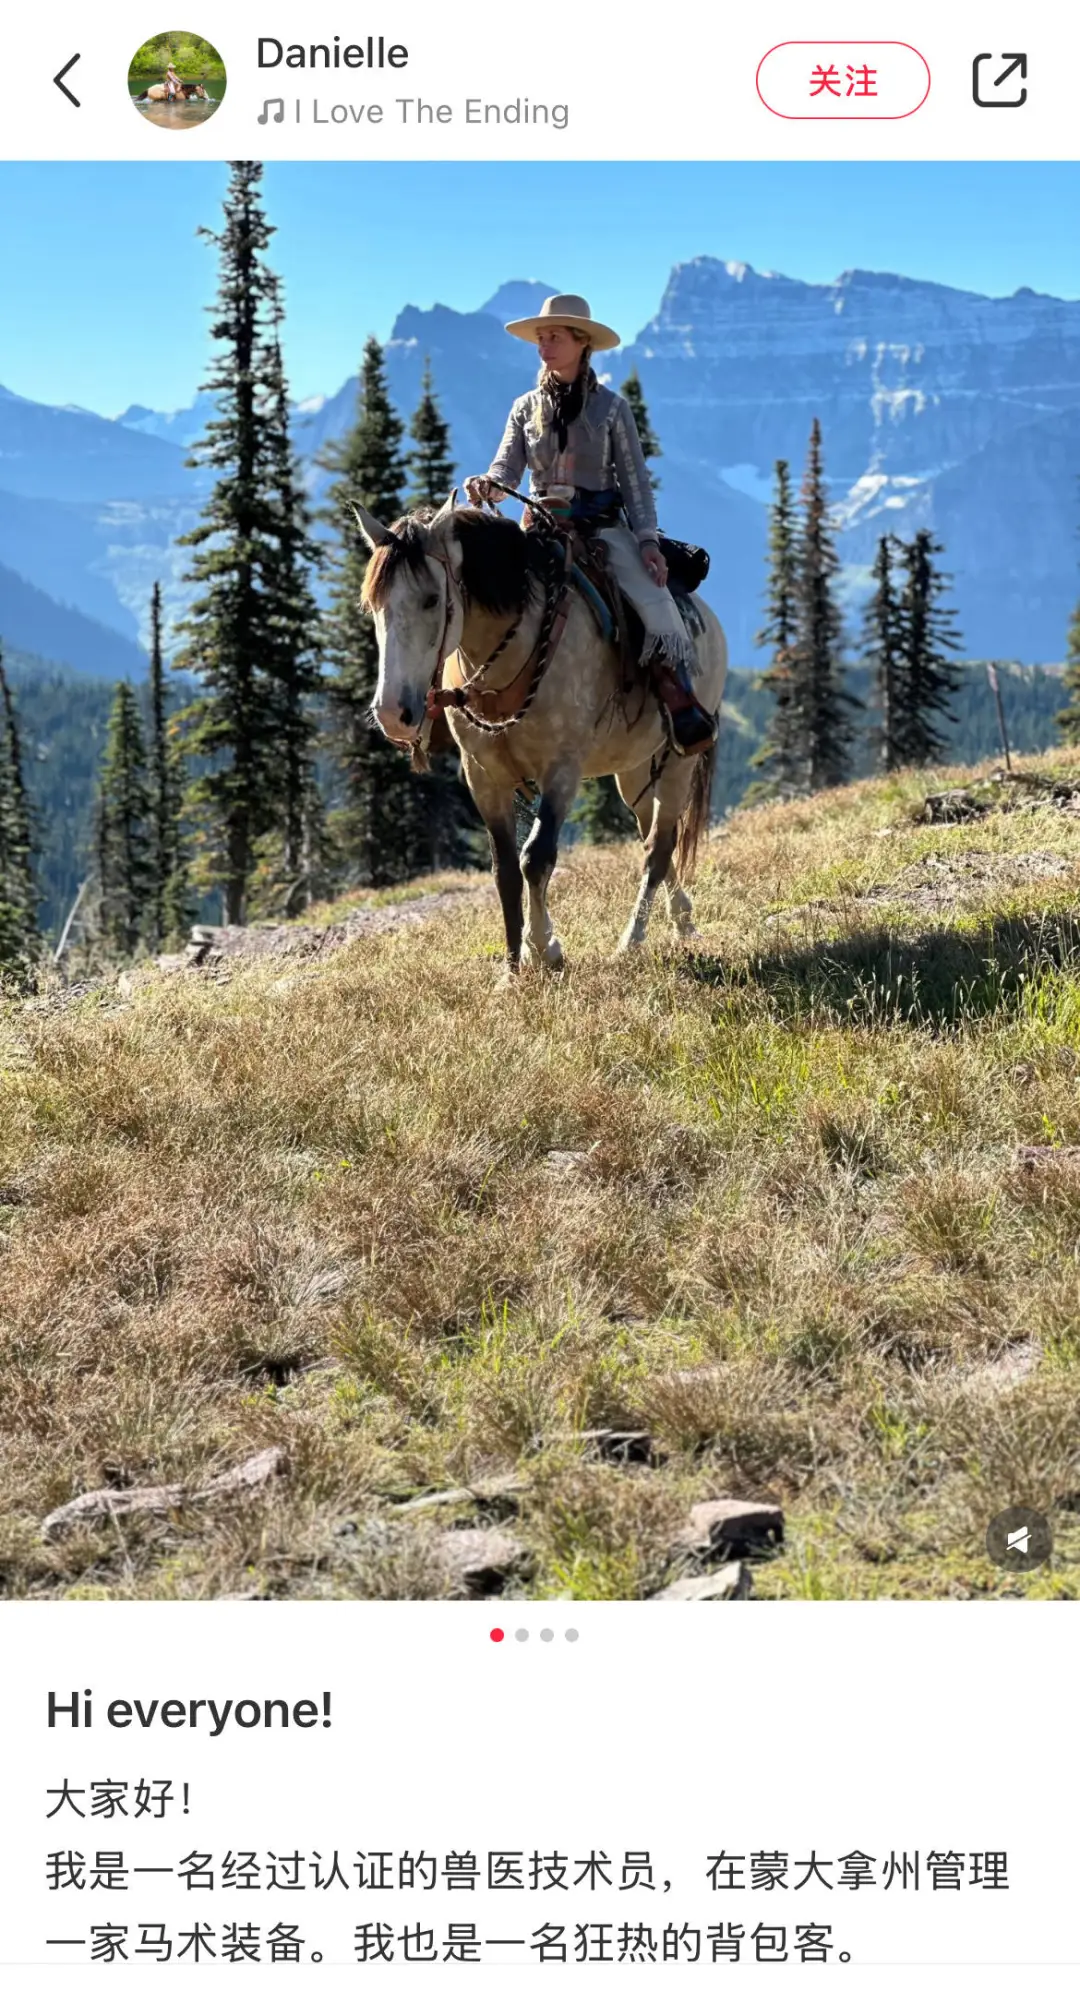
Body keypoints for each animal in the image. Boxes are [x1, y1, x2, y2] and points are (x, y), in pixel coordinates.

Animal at [354, 497, 729, 979]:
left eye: (431, 600)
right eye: (373, 606)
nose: (392, 715)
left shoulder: (562, 770)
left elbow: (536, 858)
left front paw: (544, 951)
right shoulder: (483, 778)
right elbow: (504, 871)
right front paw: (512, 971)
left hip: (681, 759)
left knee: (659, 847)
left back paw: (631, 942)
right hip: (635, 772)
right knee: (654, 838)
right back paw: (682, 921)